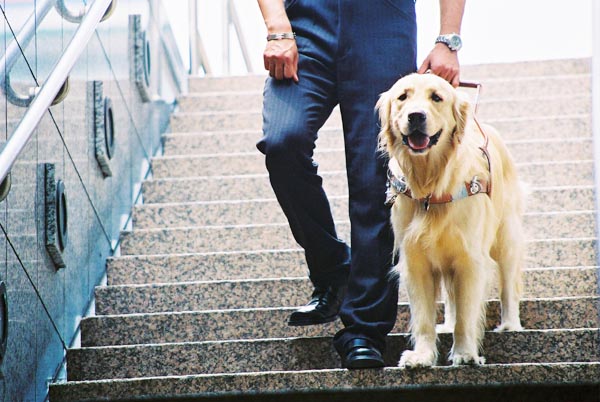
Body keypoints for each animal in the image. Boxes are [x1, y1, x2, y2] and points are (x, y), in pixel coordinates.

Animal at [380, 74, 524, 370]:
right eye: (402, 97)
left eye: (436, 97)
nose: (415, 116)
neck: (430, 185)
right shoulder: (416, 261)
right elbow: (424, 317)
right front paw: (422, 356)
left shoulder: (470, 259)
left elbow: (468, 315)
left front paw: (466, 353)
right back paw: (447, 324)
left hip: (506, 235)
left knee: (508, 282)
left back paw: (509, 324)